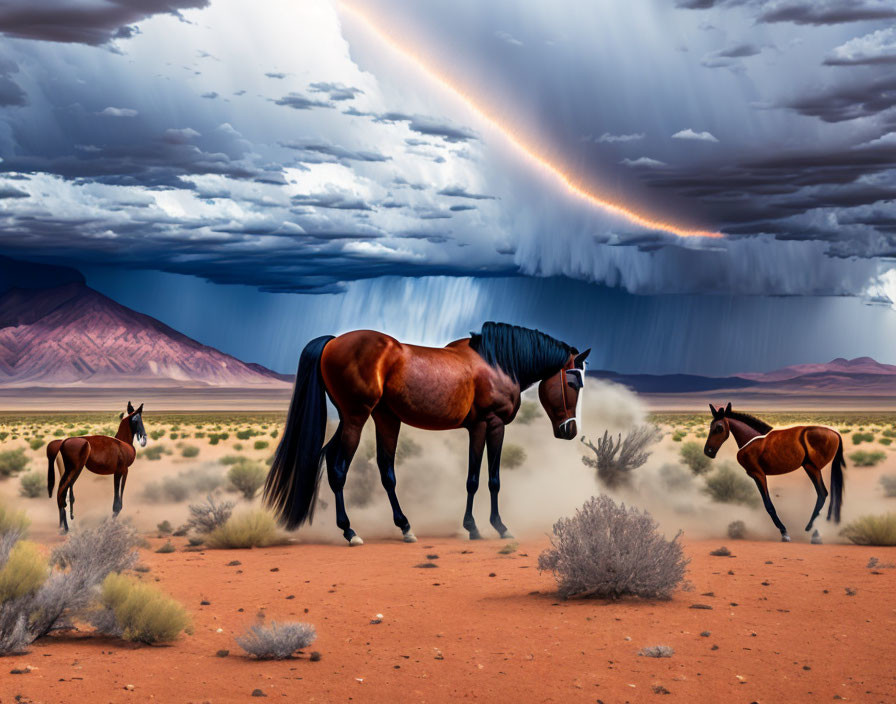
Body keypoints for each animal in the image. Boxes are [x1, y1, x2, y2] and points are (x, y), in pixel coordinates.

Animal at [47, 404, 147, 532]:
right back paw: (66, 529)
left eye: (141, 418)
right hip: (74, 470)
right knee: (61, 494)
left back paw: (63, 527)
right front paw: (111, 525)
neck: (123, 443)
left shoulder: (122, 472)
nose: (144, 438)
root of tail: (63, 441)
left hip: (67, 471)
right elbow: (117, 504)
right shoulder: (122, 471)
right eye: (135, 420)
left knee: (62, 494)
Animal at [264, 322, 588, 548]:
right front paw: (496, 527)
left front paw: (473, 526)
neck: (497, 363)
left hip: (380, 419)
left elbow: (474, 479)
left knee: (372, 468)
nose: (570, 430)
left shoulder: (476, 428)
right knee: (340, 469)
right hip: (356, 418)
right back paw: (350, 531)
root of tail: (333, 342)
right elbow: (488, 479)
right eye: (573, 383)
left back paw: (405, 527)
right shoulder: (491, 424)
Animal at [704, 402, 844, 544]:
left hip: (812, 468)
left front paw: (784, 533)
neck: (751, 439)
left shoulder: (758, 474)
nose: (708, 451)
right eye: (711, 426)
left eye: (719, 428)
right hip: (811, 468)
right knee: (824, 494)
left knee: (822, 493)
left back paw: (814, 531)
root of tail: (835, 433)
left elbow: (769, 505)